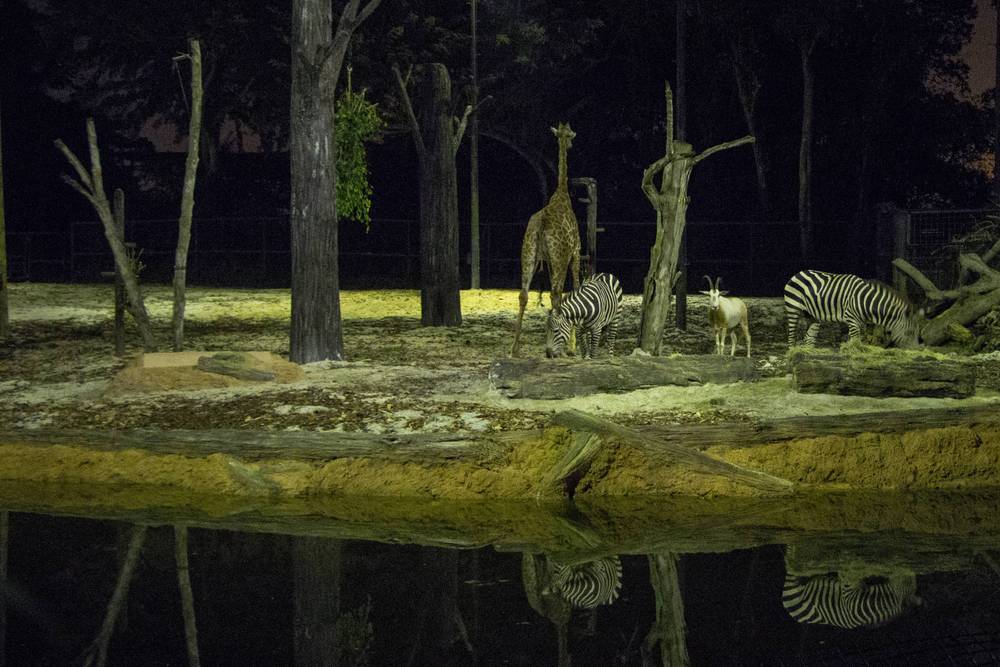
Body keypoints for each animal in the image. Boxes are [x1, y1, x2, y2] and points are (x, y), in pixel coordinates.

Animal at [511, 123, 582, 356]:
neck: (562, 194)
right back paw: (562, 348)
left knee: (523, 294)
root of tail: (541, 224)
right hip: (559, 258)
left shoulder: (548, 260)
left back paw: (514, 349)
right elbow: (574, 288)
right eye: (571, 135)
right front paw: (573, 346)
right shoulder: (575, 252)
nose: (570, 144)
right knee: (556, 294)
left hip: (528, 253)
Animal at [784, 269, 922, 348]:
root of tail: (799, 273)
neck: (866, 302)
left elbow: (855, 340)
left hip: (812, 315)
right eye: (910, 333)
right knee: (791, 337)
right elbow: (856, 341)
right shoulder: (851, 319)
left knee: (809, 338)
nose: (917, 350)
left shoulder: (859, 323)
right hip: (793, 308)